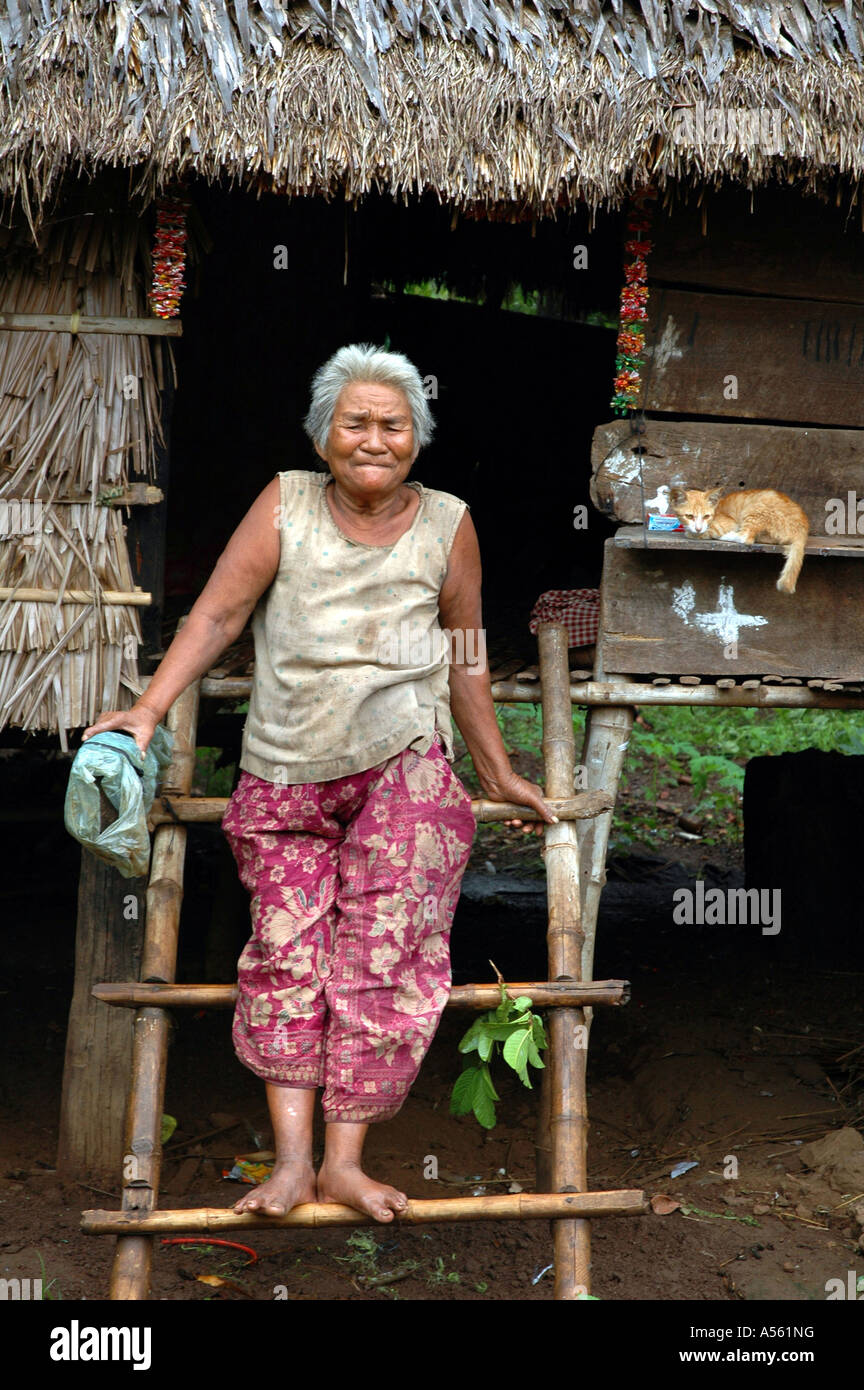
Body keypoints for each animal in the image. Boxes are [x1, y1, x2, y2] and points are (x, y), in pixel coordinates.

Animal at [669, 486, 811, 594]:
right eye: (689, 516)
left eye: (706, 516)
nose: (698, 528)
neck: (717, 508)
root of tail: (802, 530)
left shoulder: (728, 523)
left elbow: (699, 532)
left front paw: (693, 532)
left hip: (755, 510)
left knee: (746, 537)